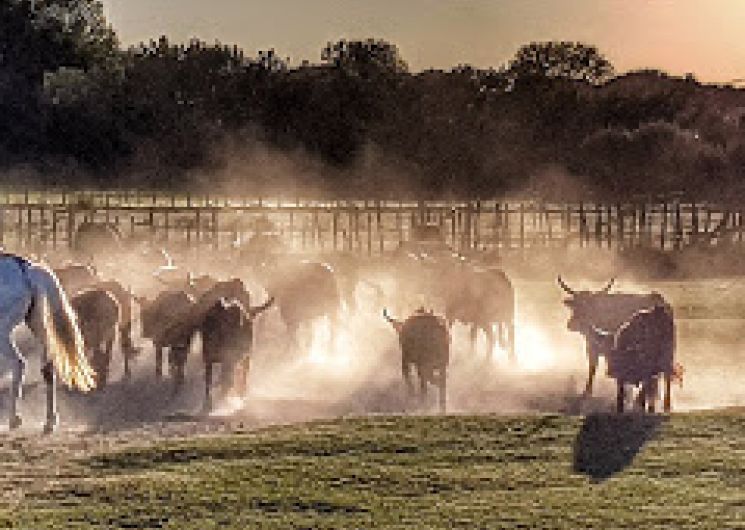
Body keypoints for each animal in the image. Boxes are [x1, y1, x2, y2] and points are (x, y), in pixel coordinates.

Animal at [0, 254, 96, 432]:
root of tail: (26, 268)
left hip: (3, 332)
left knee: (18, 363)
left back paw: (14, 419)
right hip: (37, 324)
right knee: (48, 367)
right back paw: (50, 421)